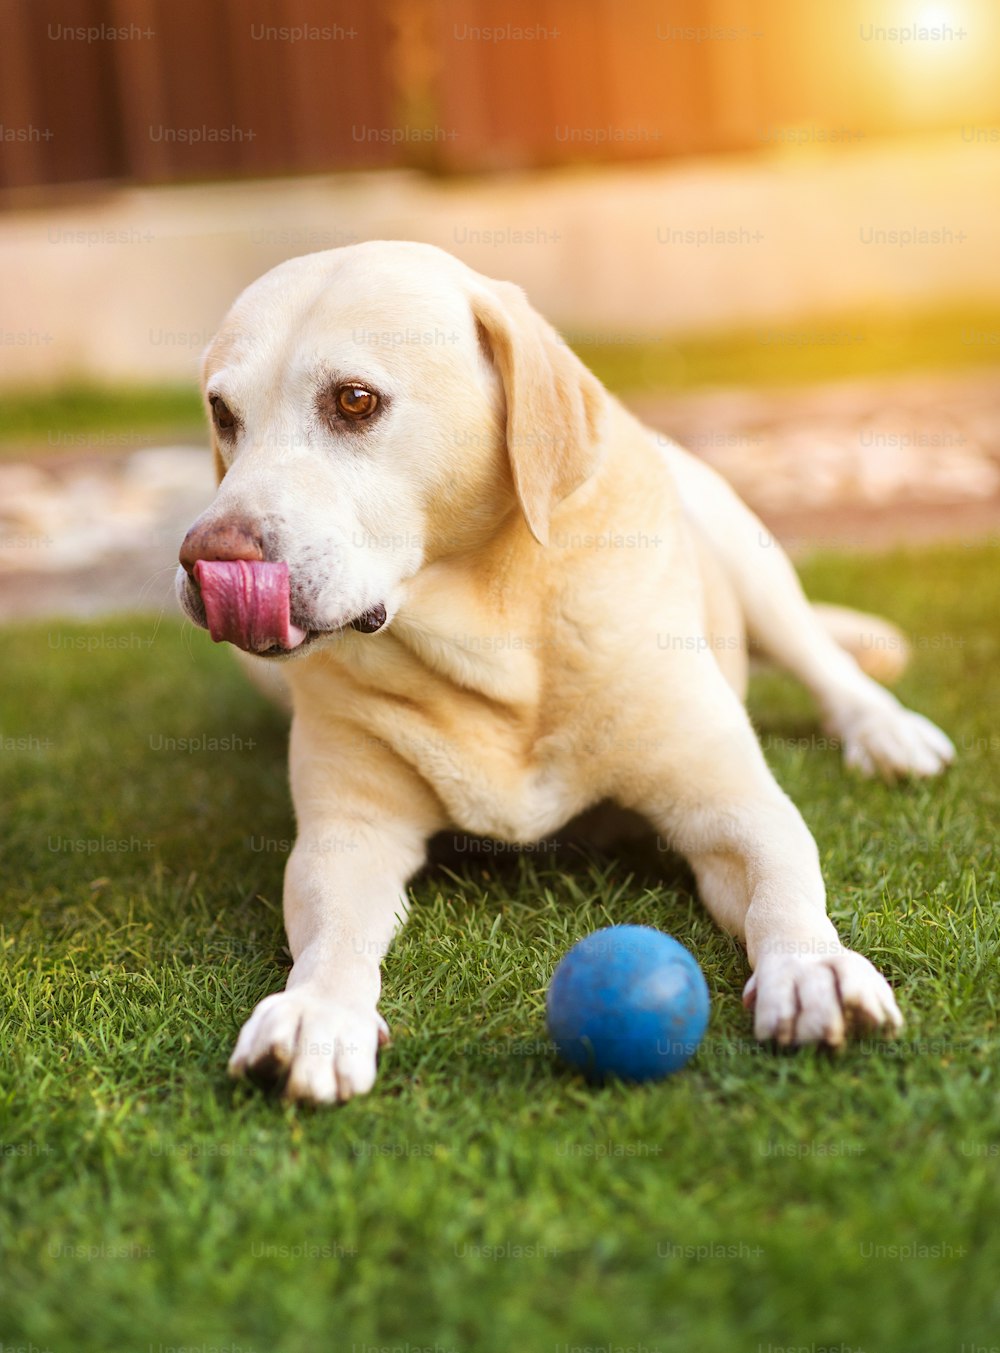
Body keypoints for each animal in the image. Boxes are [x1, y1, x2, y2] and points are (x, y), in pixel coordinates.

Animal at [178, 243, 952, 1104]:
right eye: (223, 413)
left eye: (354, 400)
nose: (207, 558)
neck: (497, 640)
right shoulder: (347, 836)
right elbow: (332, 934)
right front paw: (316, 1009)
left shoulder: (734, 805)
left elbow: (785, 879)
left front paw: (814, 968)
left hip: (748, 551)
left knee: (821, 656)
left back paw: (884, 729)